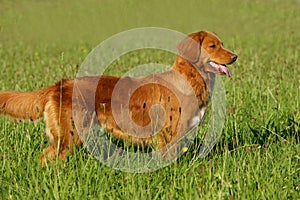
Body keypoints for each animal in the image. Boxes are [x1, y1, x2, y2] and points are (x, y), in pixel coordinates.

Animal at [0, 30, 237, 166]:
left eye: (222, 44)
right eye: (213, 46)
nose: (235, 56)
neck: (190, 79)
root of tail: (60, 84)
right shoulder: (168, 136)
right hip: (69, 137)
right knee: (46, 158)